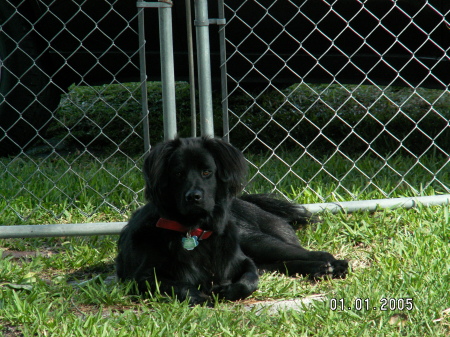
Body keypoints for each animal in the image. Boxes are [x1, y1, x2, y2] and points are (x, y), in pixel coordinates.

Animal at [117, 136, 348, 304]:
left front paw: (225, 290)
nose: (193, 197)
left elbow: (249, 282)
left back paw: (334, 266)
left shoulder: (244, 262)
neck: (195, 230)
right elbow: (179, 286)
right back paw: (321, 269)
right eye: (178, 174)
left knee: (312, 253)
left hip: (256, 241)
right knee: (282, 263)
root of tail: (245, 202)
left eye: (207, 172)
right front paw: (199, 296)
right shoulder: (141, 278)